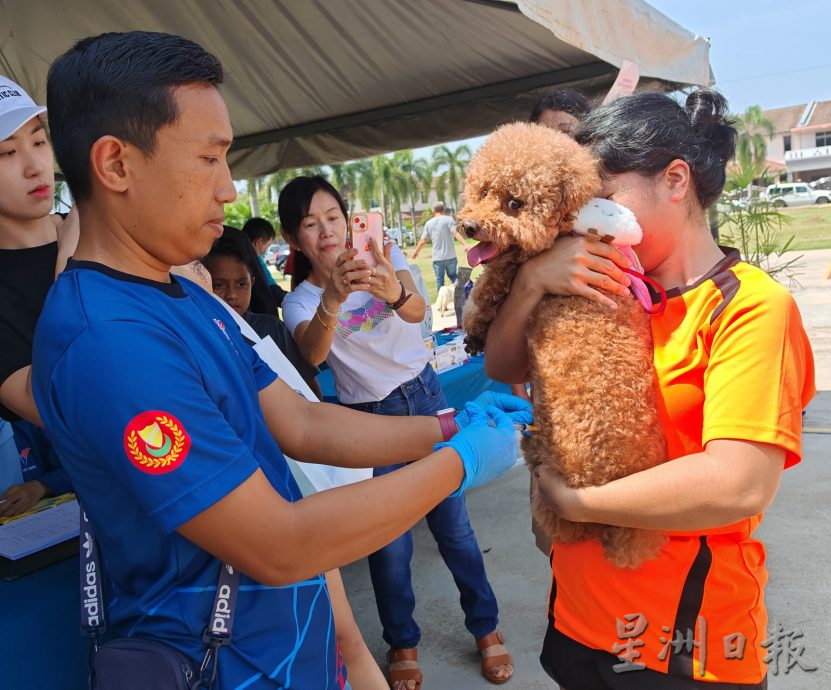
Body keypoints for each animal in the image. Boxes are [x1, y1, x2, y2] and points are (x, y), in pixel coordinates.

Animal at [464, 122, 668, 564]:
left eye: (515, 203)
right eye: (482, 191)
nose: (469, 227)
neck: (570, 227)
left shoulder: (512, 266)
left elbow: (489, 285)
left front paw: (472, 326)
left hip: (545, 461)